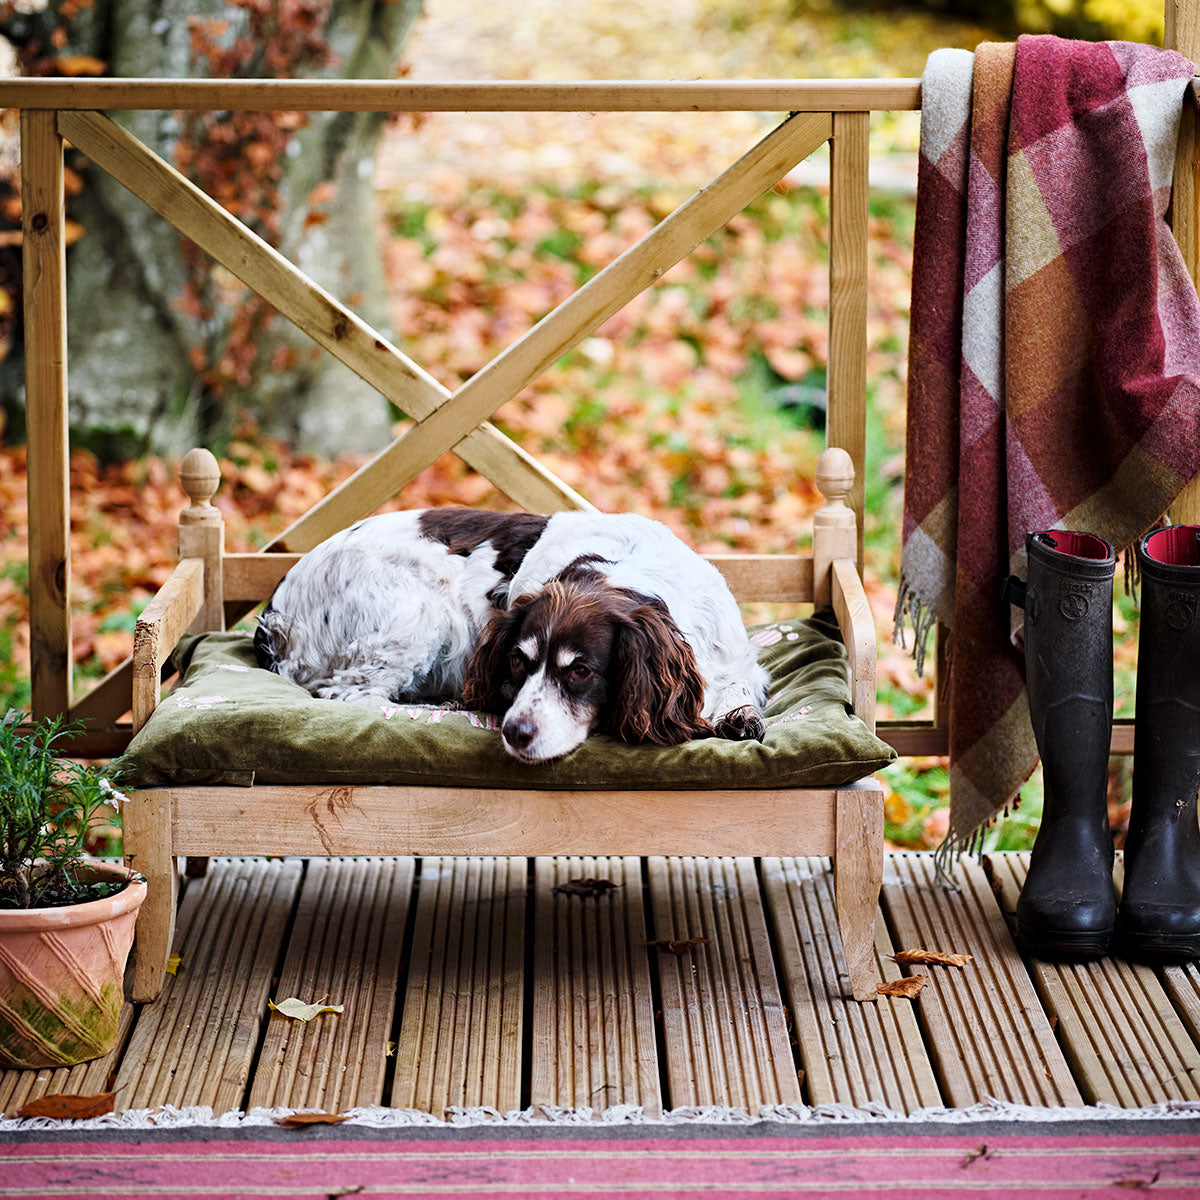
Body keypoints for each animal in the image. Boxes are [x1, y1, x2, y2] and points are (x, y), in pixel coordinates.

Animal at [253, 506, 768, 758]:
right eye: (518, 662)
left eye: (581, 671)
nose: (515, 732)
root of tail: (274, 613)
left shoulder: (737, 657)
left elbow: (741, 685)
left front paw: (738, 715)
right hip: (416, 612)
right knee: (352, 694)